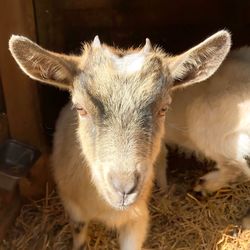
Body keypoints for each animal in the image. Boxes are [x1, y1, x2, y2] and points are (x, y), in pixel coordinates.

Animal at [8, 31, 230, 250]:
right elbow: (79, 237)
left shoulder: (137, 219)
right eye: (80, 108)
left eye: (163, 108)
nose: (124, 189)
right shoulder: (73, 208)